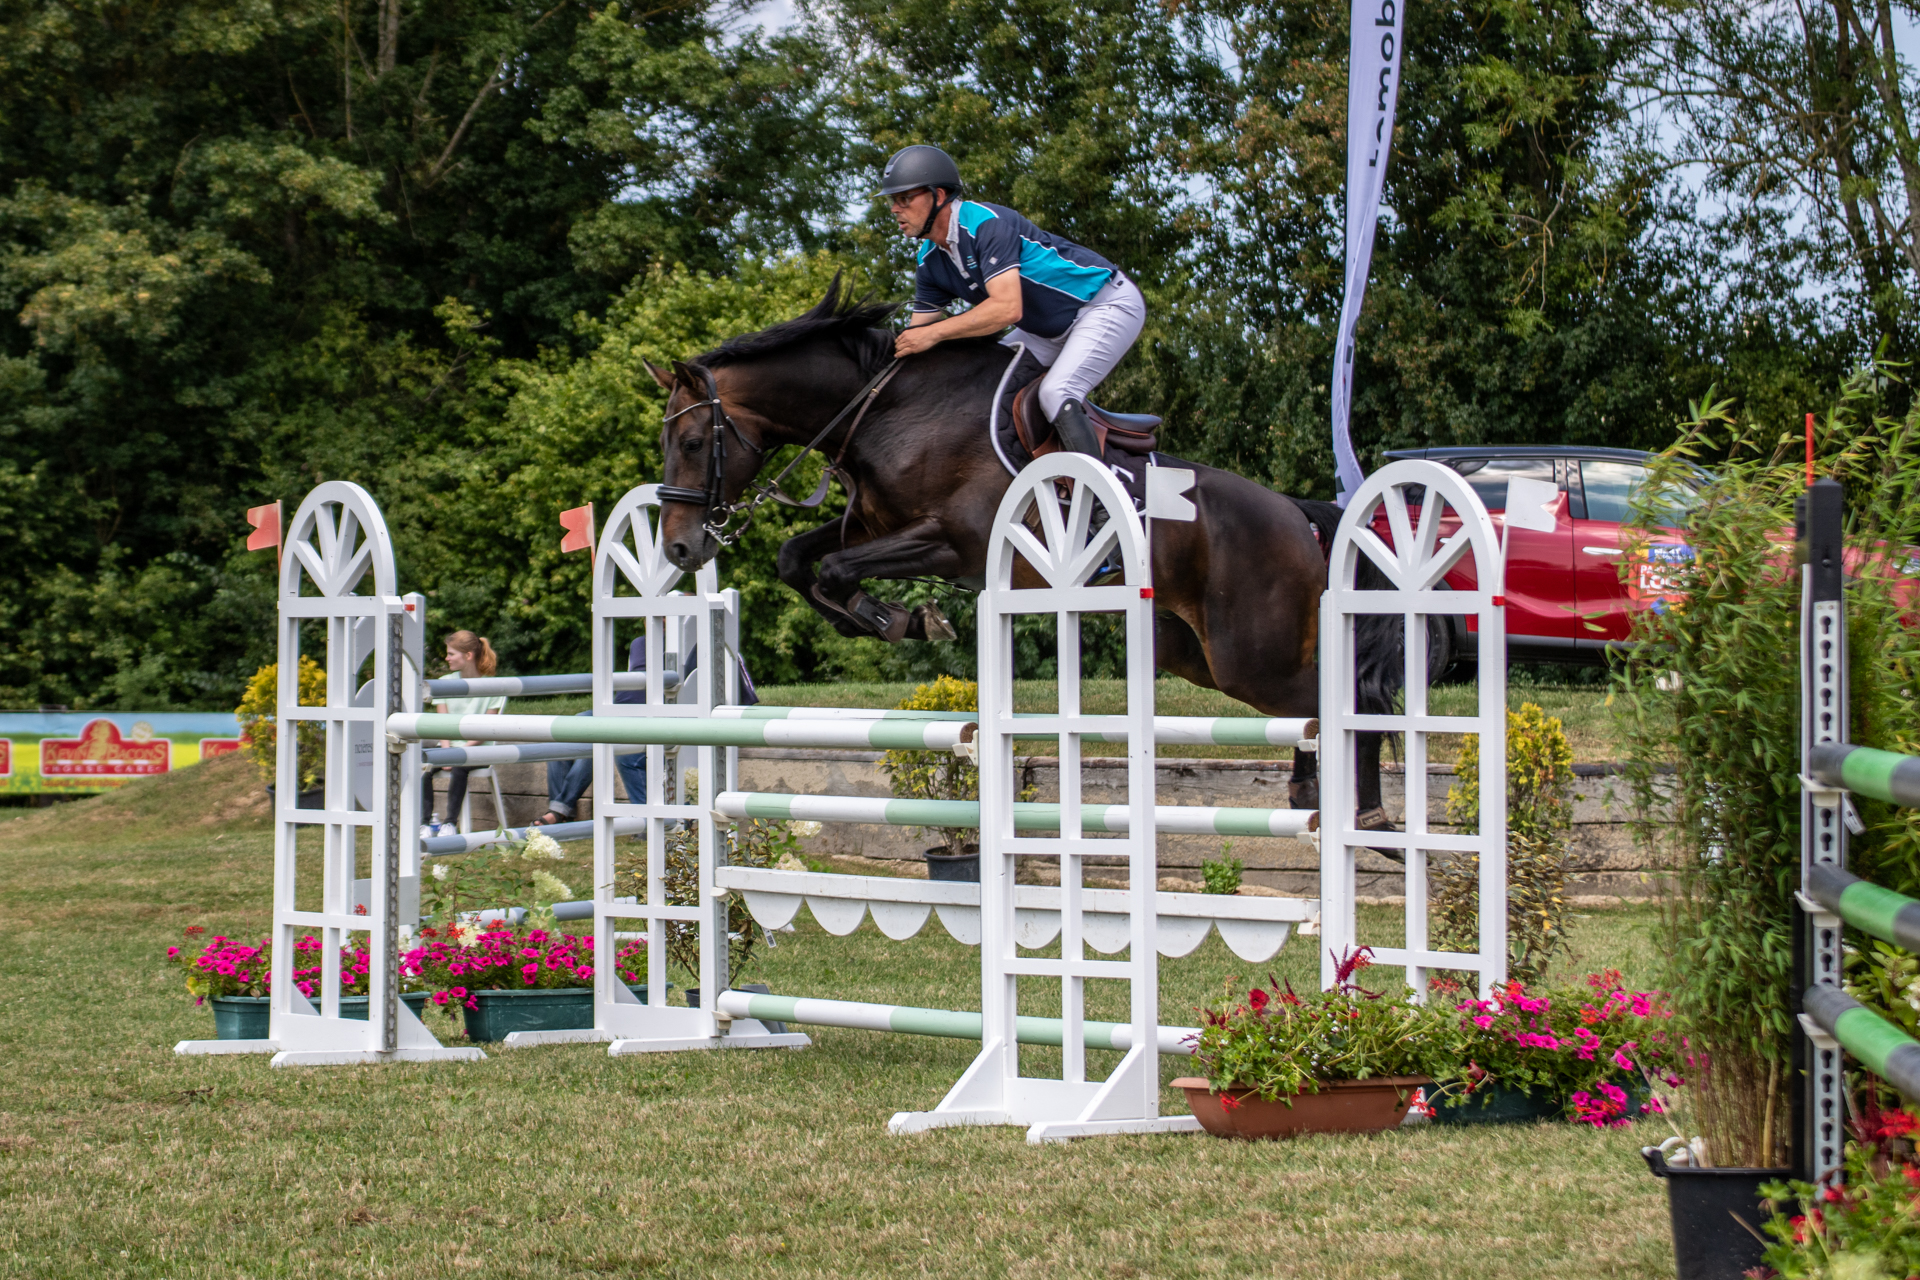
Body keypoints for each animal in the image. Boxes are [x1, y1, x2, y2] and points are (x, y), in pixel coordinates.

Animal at [645, 278, 1399, 824]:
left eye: (693, 443)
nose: (680, 548)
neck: (885, 412)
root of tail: (1296, 515)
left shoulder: (955, 543)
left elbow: (831, 569)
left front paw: (900, 619)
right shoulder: (873, 525)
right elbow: (800, 560)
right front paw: (886, 619)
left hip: (1251, 653)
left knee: (1347, 696)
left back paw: (1363, 812)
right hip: (1198, 653)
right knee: (1317, 705)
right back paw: (1320, 797)